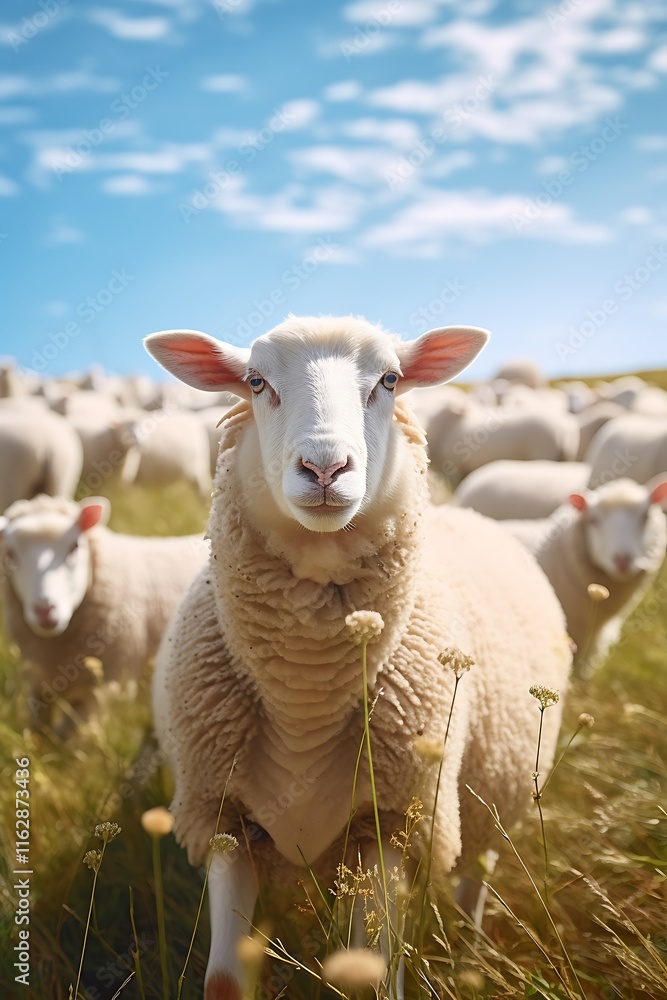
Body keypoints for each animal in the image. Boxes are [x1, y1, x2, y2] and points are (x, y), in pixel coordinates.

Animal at [0, 494, 209, 731]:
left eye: (74, 546)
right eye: (10, 554)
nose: (45, 610)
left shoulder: (105, 688)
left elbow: (69, 736)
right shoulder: (38, 683)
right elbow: (36, 730)